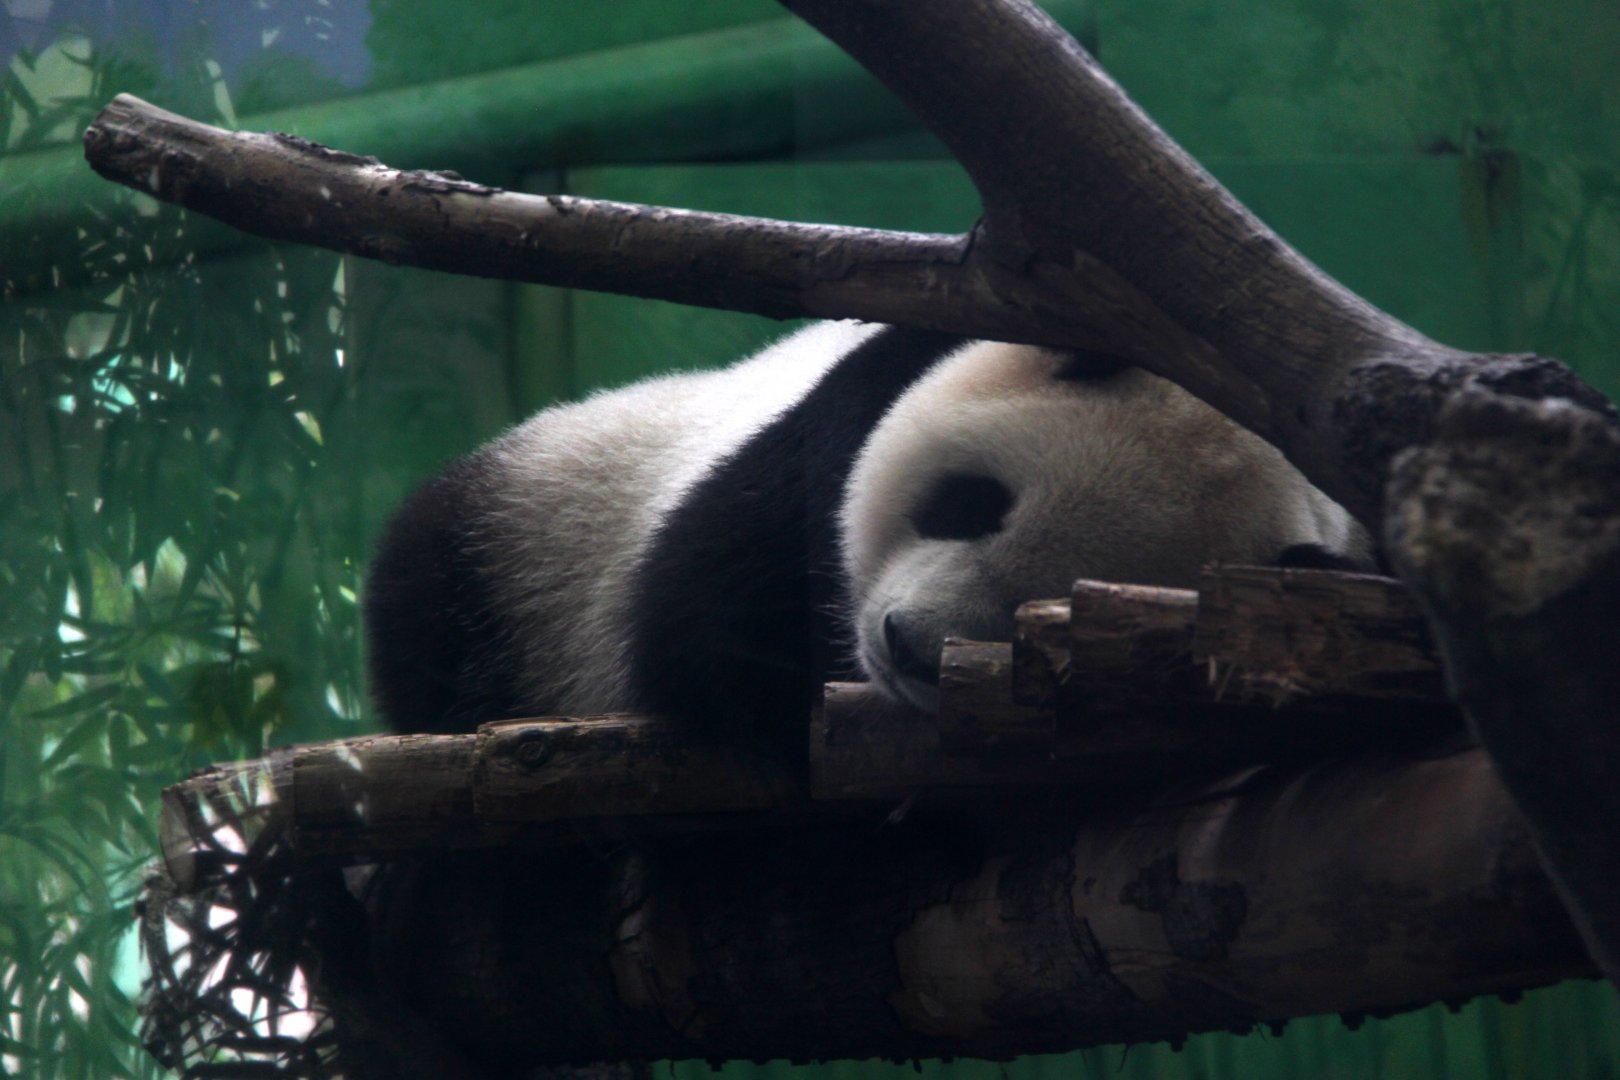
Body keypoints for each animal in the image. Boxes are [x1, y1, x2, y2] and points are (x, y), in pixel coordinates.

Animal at [363, 322, 1370, 737]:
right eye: (971, 504)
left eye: (1055, 614)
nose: (906, 645)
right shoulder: (844, 411)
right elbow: (708, 619)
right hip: (540, 523)